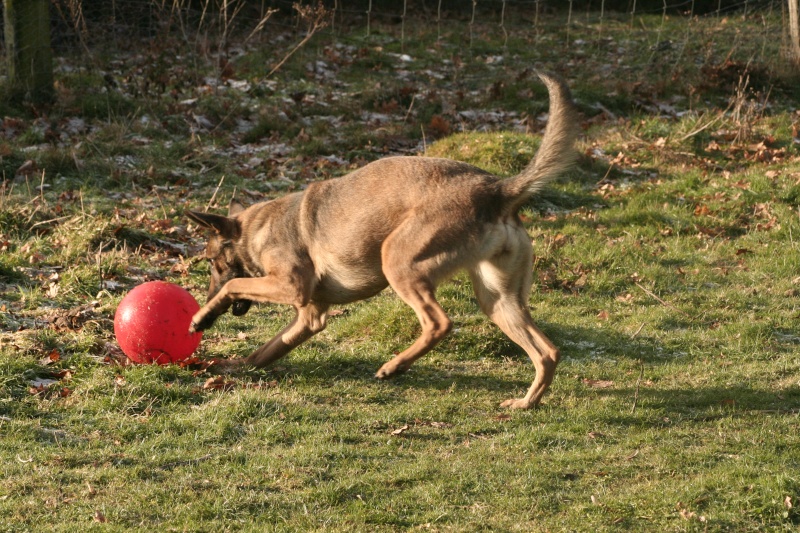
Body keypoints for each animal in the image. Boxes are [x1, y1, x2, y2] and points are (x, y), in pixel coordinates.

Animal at [185, 72, 580, 410]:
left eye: (212, 264)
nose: (202, 299)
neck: (257, 228)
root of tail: (496, 190)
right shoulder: (309, 317)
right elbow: (264, 351)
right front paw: (232, 365)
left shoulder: (291, 286)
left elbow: (234, 285)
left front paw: (203, 316)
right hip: (498, 300)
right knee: (547, 352)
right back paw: (526, 403)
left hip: (399, 261)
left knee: (440, 323)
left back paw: (395, 366)